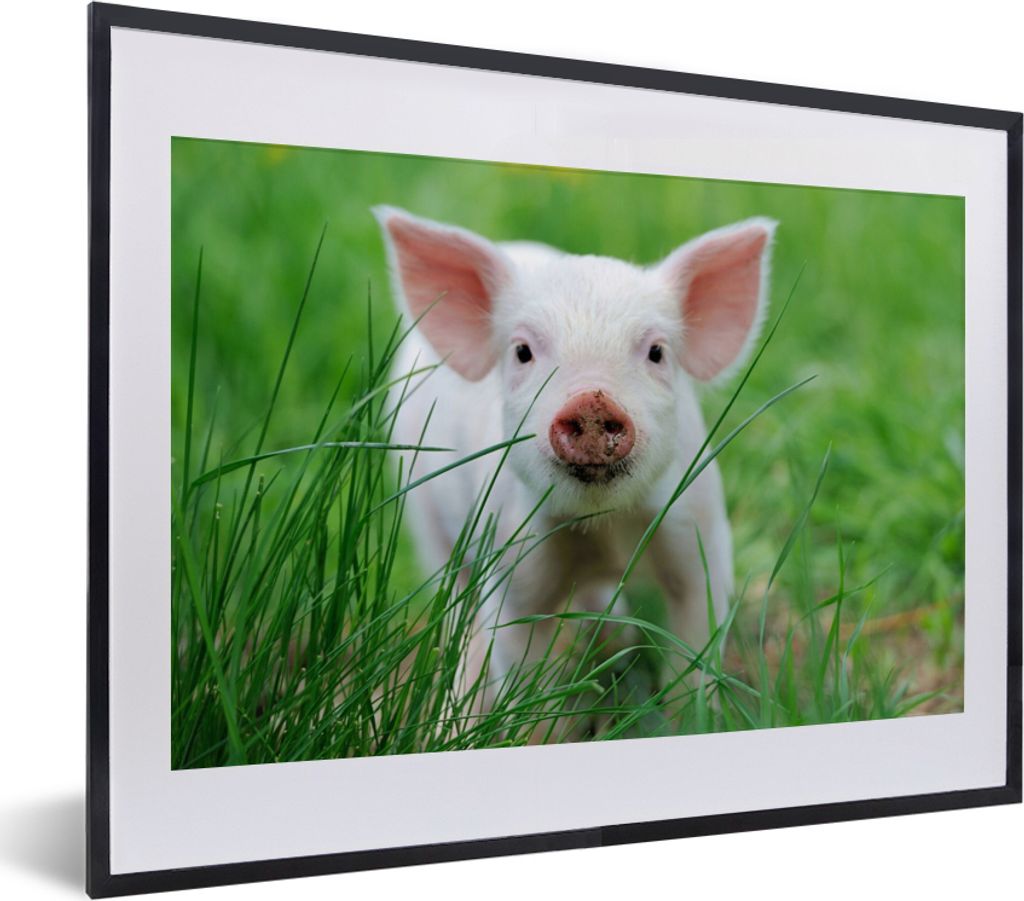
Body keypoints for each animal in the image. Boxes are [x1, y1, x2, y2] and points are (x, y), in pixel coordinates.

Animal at [374, 205, 776, 713]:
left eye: (657, 351)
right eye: (522, 351)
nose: (591, 401)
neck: (601, 527)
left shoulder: (700, 535)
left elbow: (694, 644)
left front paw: (692, 717)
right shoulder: (510, 557)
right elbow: (521, 663)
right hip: (426, 517)